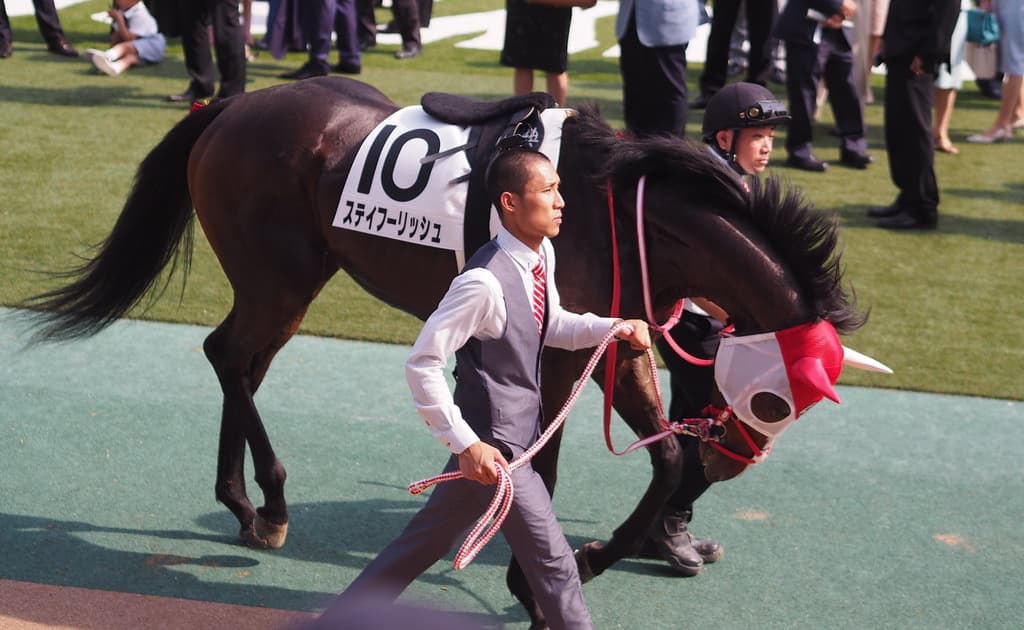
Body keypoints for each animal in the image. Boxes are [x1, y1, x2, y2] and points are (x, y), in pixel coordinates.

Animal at [23, 77, 868, 627]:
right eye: (774, 400)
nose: (728, 460)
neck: (622, 209)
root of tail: (233, 103)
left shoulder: (614, 335)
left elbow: (661, 462)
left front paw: (592, 557)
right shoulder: (558, 351)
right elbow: (543, 465)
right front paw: (542, 580)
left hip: (289, 280)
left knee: (240, 363)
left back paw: (246, 504)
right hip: (278, 277)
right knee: (229, 356)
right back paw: (268, 502)